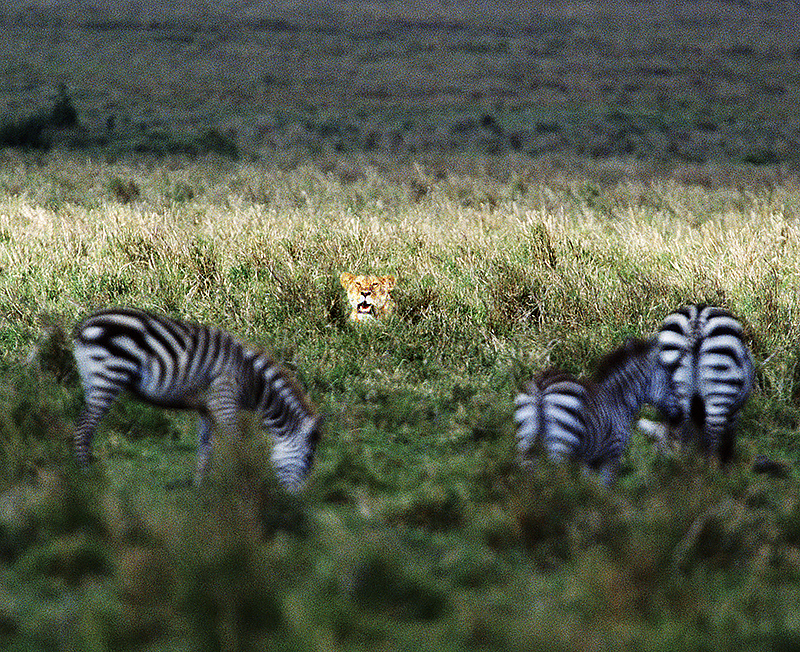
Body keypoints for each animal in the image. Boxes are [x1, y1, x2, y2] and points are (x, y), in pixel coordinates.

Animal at [72, 308, 322, 492]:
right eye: (309, 459)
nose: (296, 501)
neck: (252, 380)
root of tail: (85, 325)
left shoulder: (206, 408)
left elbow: (205, 448)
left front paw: (199, 487)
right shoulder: (224, 399)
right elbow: (236, 441)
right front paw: (242, 479)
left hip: (93, 379)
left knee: (83, 425)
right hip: (109, 375)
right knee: (84, 428)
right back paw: (85, 476)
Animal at [512, 336, 680, 484]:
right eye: (673, 381)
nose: (676, 422)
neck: (619, 399)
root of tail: (541, 391)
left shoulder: (589, 460)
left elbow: (591, 486)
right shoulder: (612, 453)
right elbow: (605, 487)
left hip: (526, 444)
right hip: (560, 445)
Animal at [644, 304, 756, 464]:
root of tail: (697, 320)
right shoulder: (734, 416)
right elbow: (726, 444)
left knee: (683, 435)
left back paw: (683, 465)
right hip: (719, 387)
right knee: (711, 443)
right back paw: (705, 469)